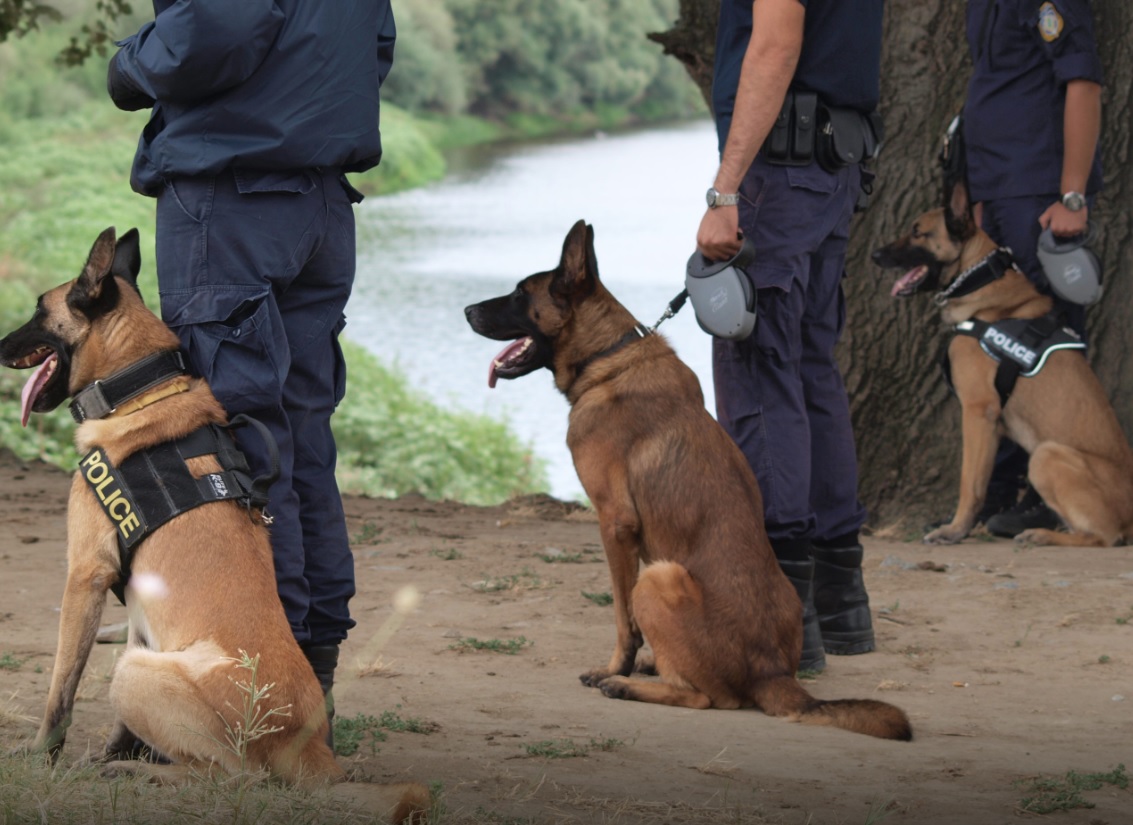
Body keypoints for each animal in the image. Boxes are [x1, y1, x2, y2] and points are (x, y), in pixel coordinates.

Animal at [459, 218, 910, 743]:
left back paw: (627, 685)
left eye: (518, 293)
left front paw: (615, 667)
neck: (607, 356)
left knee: (708, 698)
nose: (466, 310)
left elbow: (622, 620)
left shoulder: (615, 525)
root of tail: (772, 673)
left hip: (659, 577)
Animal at [870, 185, 1133, 548]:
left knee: (1104, 537)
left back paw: (1040, 534)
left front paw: (954, 530)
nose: (875, 255)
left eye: (918, 232)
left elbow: (969, 483)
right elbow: (984, 480)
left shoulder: (978, 410)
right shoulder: (992, 424)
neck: (977, 279)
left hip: (1047, 454)